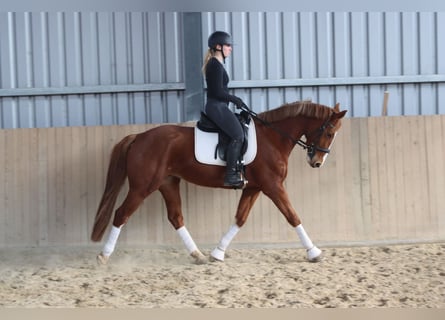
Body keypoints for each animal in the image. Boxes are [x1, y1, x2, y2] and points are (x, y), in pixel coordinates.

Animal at [91, 101, 346, 264]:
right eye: (329, 133)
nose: (316, 162)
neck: (273, 138)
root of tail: (139, 137)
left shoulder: (254, 187)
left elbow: (240, 218)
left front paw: (217, 253)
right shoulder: (273, 186)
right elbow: (293, 216)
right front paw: (314, 252)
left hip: (167, 183)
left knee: (176, 217)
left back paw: (198, 255)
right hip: (142, 187)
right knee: (121, 214)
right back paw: (104, 256)